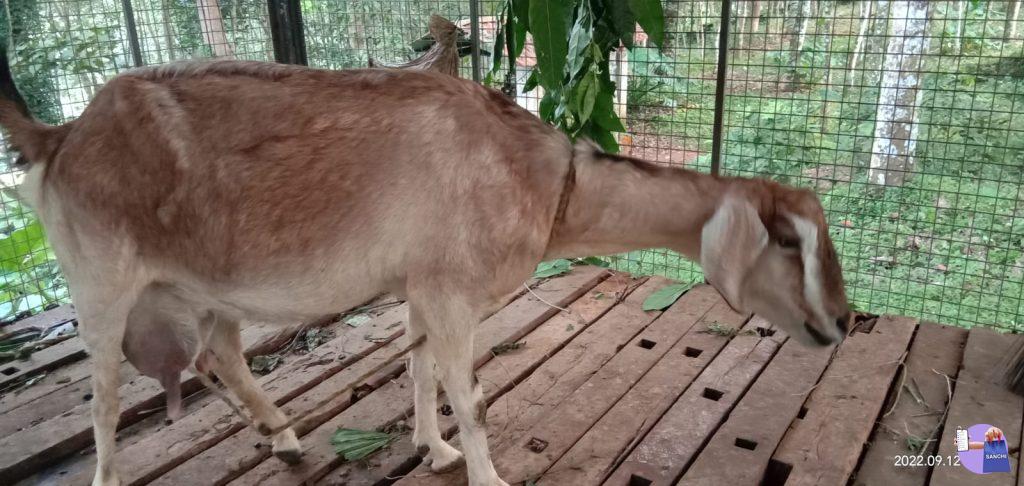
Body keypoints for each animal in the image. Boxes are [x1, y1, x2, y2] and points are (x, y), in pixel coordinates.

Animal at [0, 58, 850, 486]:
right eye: (786, 239)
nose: (840, 322)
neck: (542, 180)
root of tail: (61, 137)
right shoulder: (449, 289)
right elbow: (469, 393)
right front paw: (485, 474)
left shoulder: (422, 286)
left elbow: (420, 374)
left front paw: (433, 450)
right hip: (101, 282)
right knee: (105, 403)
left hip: (206, 287)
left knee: (217, 356)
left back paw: (284, 438)